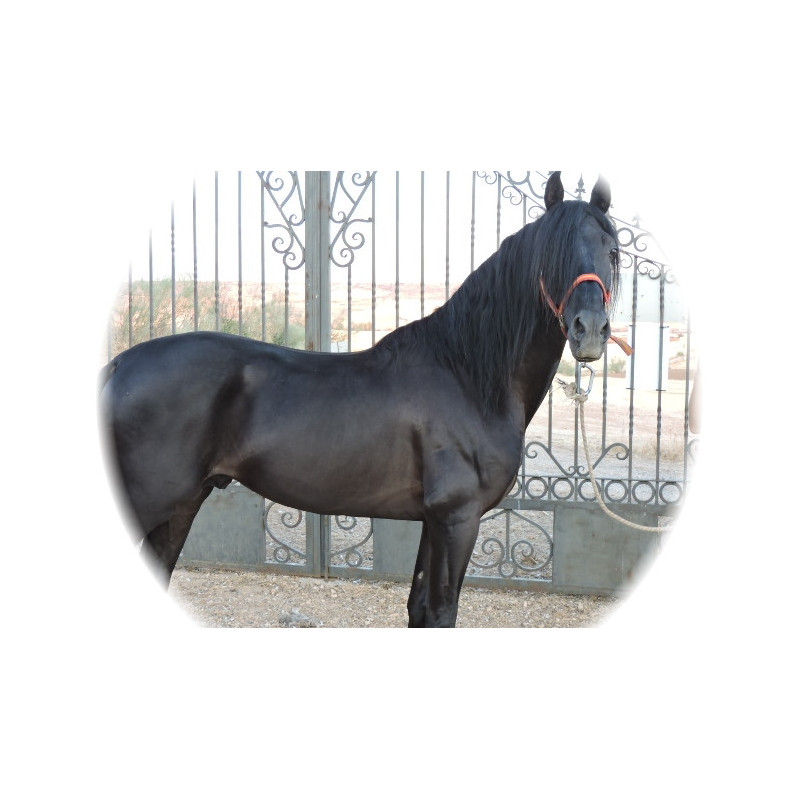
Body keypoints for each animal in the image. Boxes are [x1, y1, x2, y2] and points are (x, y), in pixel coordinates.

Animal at [99, 171, 622, 627]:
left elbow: (419, 611)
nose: (590, 331)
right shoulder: (458, 518)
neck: (468, 375)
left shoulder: (433, 521)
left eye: (613, 252)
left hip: (184, 502)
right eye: (552, 253)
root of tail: (122, 364)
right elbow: (440, 614)